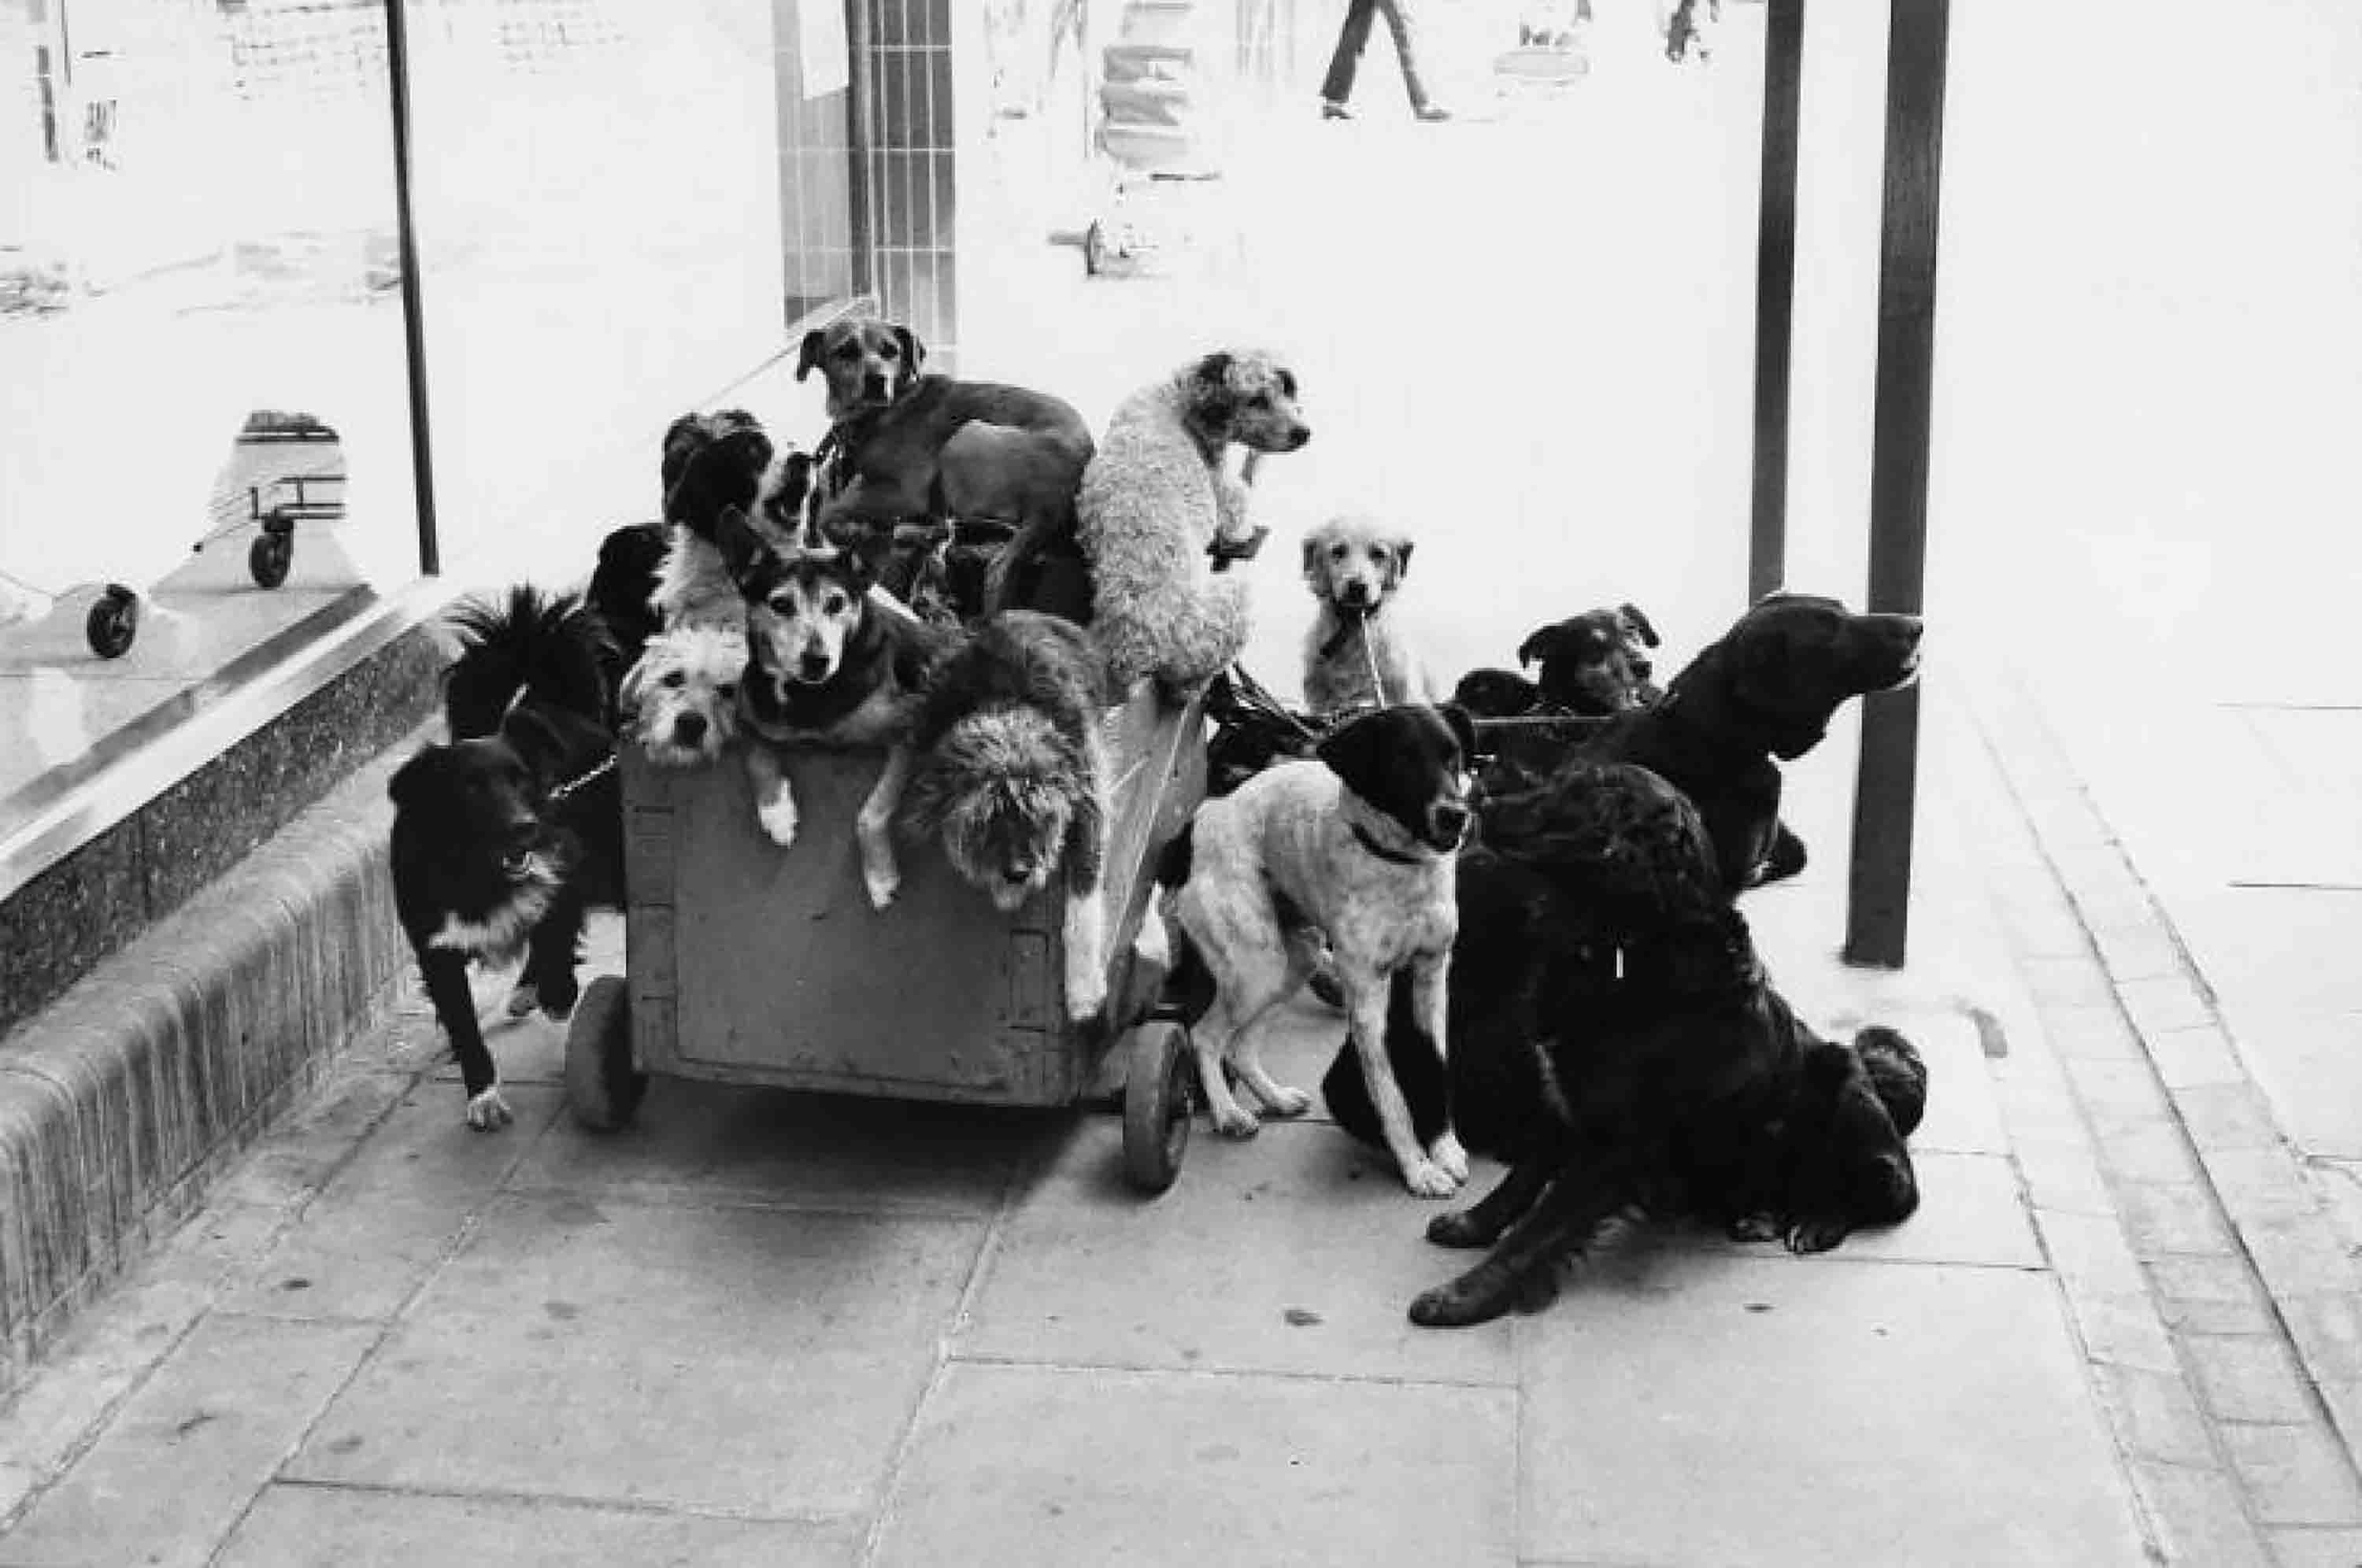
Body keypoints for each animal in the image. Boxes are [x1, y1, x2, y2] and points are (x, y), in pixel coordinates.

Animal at [392, 588, 624, 1129]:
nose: (525, 827)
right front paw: (483, 1095)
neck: (478, 871)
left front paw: (560, 994)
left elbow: (557, 930)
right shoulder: (435, 946)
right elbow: (462, 1023)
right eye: (471, 788)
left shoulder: (564, 870)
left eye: (521, 780)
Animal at [794, 319, 1087, 623]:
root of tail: (1051, 504)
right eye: (845, 351)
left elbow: (830, 513)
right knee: (941, 527)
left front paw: (850, 529)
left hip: (965, 436)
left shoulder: (907, 491)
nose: (877, 381)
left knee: (944, 526)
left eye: (891, 351)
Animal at [1082, 354, 1323, 699]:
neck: (1181, 396)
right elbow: (1237, 506)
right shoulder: (1221, 486)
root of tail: (1134, 652)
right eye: (1256, 400)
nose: (1303, 433)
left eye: (1284, 390)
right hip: (1232, 604)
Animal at [1294, 520, 1436, 723]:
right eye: (1338, 551)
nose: (1357, 587)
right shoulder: (1321, 700)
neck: (1354, 625)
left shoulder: (1404, 693)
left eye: (1378, 553)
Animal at [1323, 760, 1927, 1322]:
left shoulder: (1616, 1143)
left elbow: (1541, 1229)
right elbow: (1519, 1184)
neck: (1627, 948)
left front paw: (1463, 1296)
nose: (1475, 802)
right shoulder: (1563, 1103)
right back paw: (1761, 1215)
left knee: (1888, 1195)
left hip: (1847, 1086)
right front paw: (1473, 1225)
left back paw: (1817, 1222)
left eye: (1574, 792)